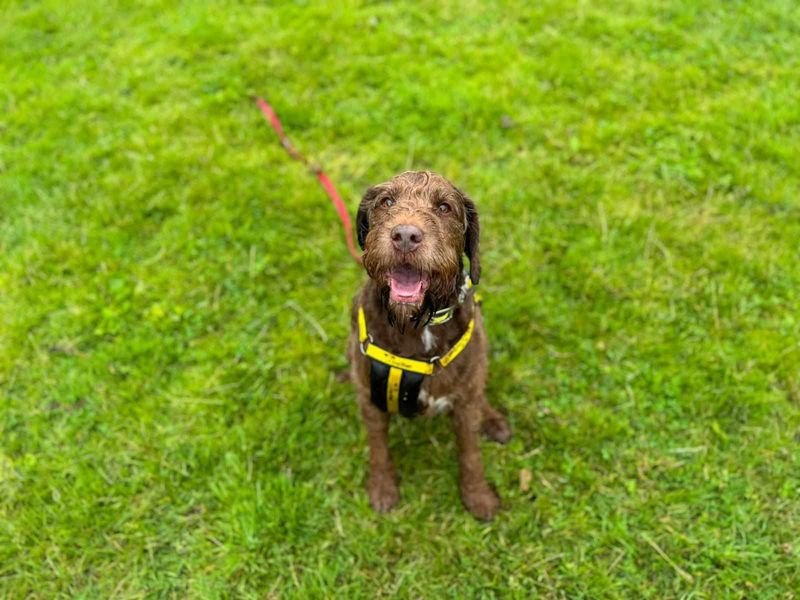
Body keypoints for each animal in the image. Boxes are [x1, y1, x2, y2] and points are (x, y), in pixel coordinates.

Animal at [346, 170, 510, 520]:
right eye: (387, 202)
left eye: (444, 207)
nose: (406, 236)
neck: (416, 323)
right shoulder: (369, 397)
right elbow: (378, 447)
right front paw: (382, 488)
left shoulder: (465, 405)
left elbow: (471, 452)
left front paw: (478, 496)